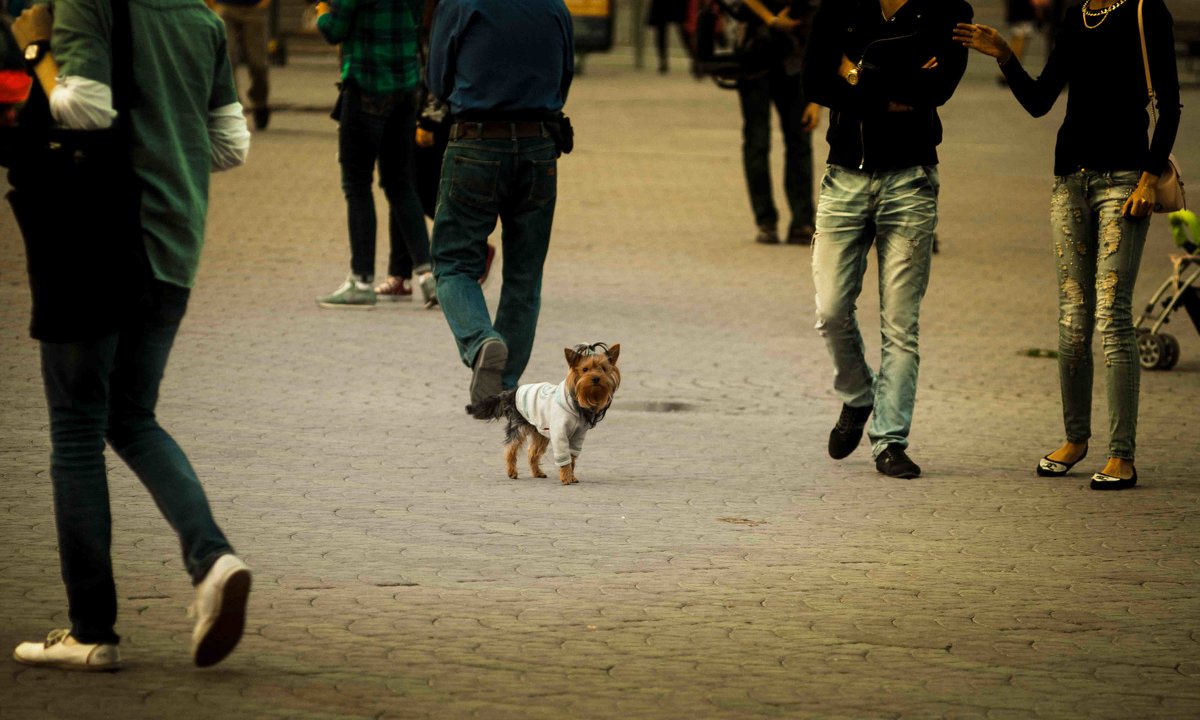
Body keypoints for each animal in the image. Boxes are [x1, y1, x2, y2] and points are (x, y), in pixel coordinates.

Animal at [465, 340, 624, 484]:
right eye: (585, 369)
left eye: (603, 369)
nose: (596, 378)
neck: (579, 400)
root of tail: (512, 392)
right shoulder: (559, 433)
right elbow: (564, 457)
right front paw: (566, 478)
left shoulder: (578, 435)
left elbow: (572, 457)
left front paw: (572, 476)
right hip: (519, 426)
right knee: (510, 449)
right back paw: (512, 472)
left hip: (540, 430)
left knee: (532, 452)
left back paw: (537, 473)